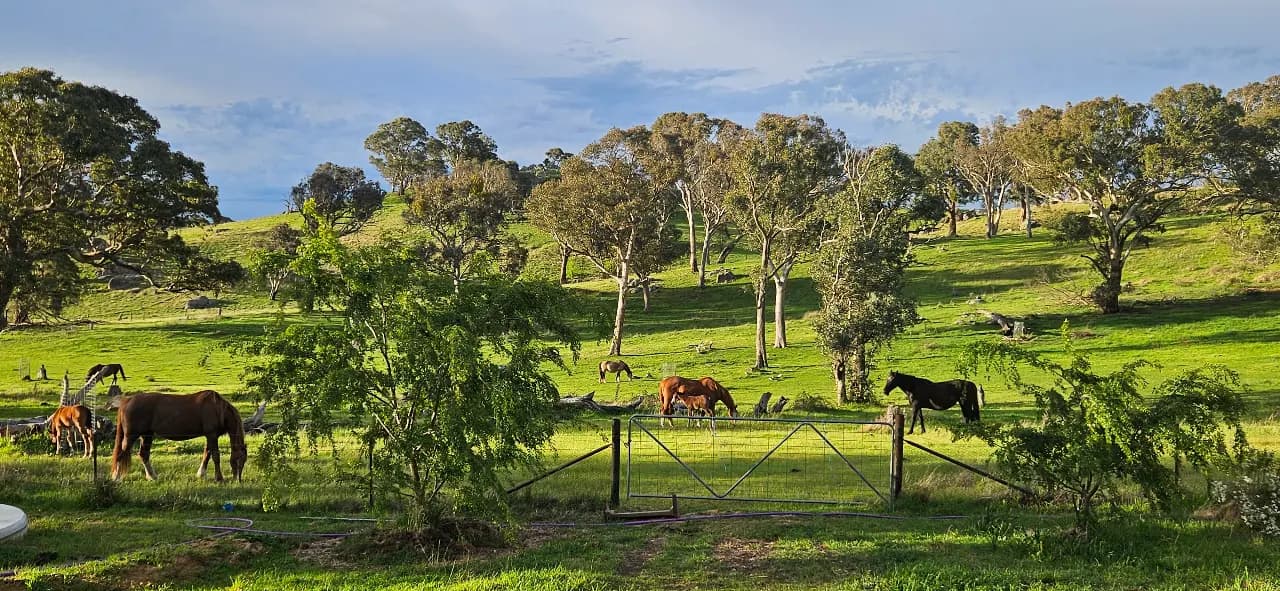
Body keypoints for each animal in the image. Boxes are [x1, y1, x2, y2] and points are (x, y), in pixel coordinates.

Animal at [111, 390, 246, 482]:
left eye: (244, 460)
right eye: (238, 459)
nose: (238, 480)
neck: (218, 409)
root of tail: (127, 401)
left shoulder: (211, 436)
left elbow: (206, 454)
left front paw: (201, 474)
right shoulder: (212, 435)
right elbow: (215, 456)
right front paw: (219, 478)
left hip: (147, 435)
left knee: (143, 454)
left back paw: (152, 476)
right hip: (131, 436)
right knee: (121, 453)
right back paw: (116, 478)